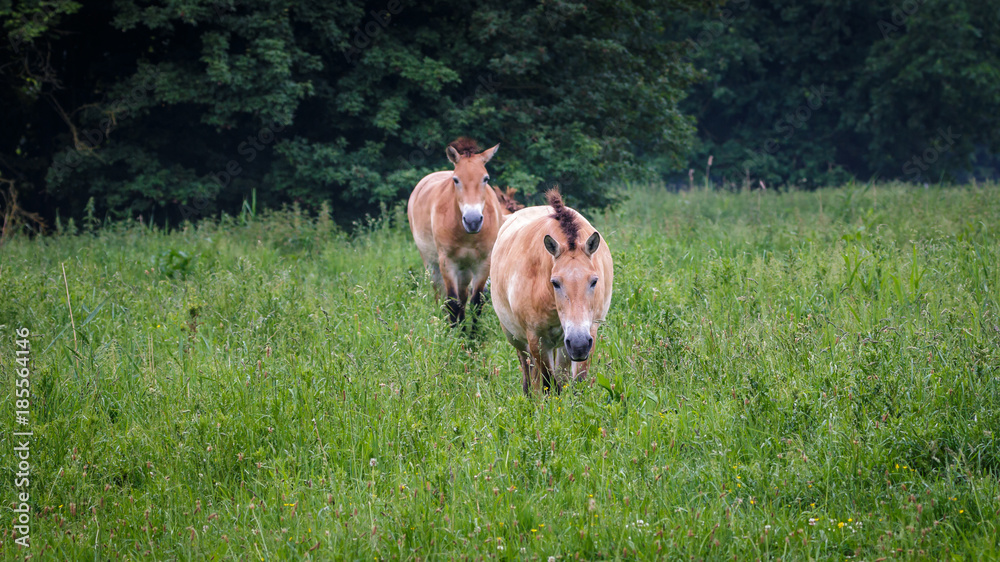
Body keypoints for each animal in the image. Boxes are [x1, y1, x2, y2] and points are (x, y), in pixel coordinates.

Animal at [407, 138, 502, 325]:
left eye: (486, 179)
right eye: (456, 180)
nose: (473, 220)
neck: (467, 236)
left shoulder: (483, 263)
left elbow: (476, 302)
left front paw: (471, 332)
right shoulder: (447, 263)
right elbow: (451, 302)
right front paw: (452, 331)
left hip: (465, 270)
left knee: (463, 297)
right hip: (432, 264)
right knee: (440, 295)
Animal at [490, 189, 614, 394]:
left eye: (594, 281)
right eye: (555, 283)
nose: (579, 344)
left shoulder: (585, 335)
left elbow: (575, 382)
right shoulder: (537, 340)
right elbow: (550, 385)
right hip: (517, 339)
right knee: (527, 372)